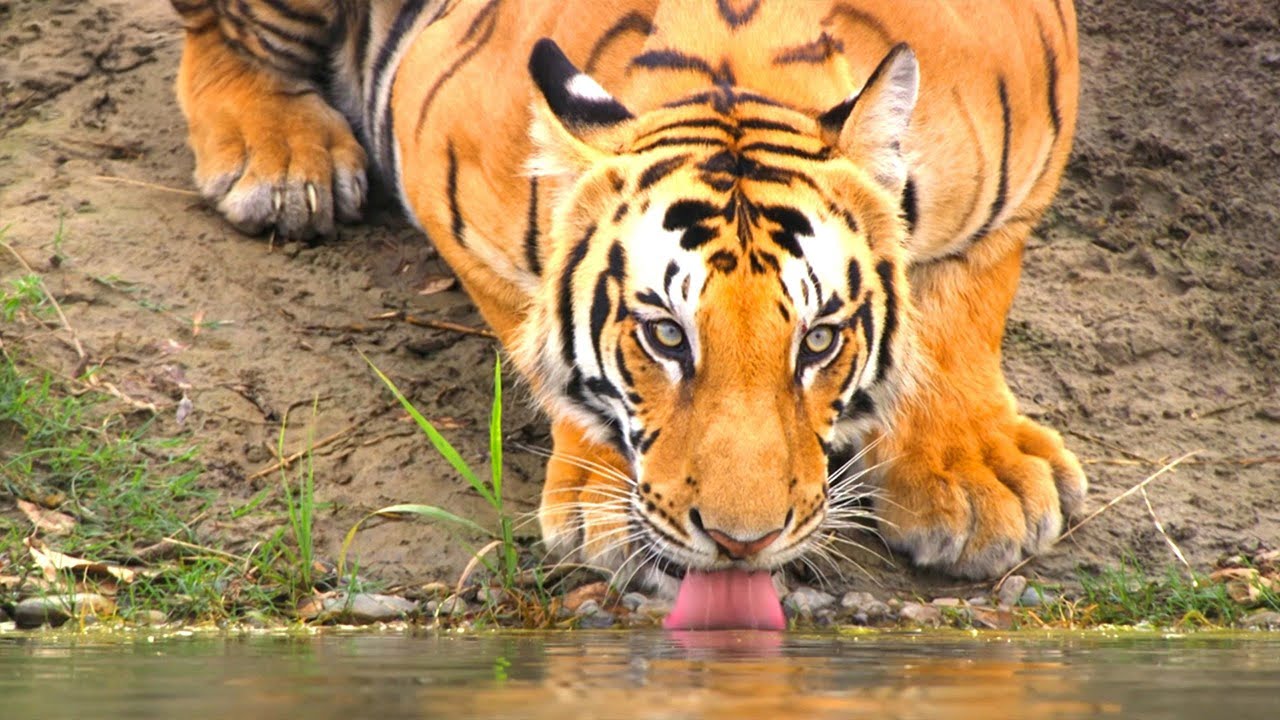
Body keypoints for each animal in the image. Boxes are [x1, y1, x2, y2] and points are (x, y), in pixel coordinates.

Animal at [169, 0, 1087, 618]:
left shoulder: (1030, 152)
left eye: (820, 341)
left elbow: (964, 301)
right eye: (665, 337)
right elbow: (539, 336)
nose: (742, 544)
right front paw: (603, 502)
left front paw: (975, 480)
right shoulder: (442, 161)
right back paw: (283, 164)